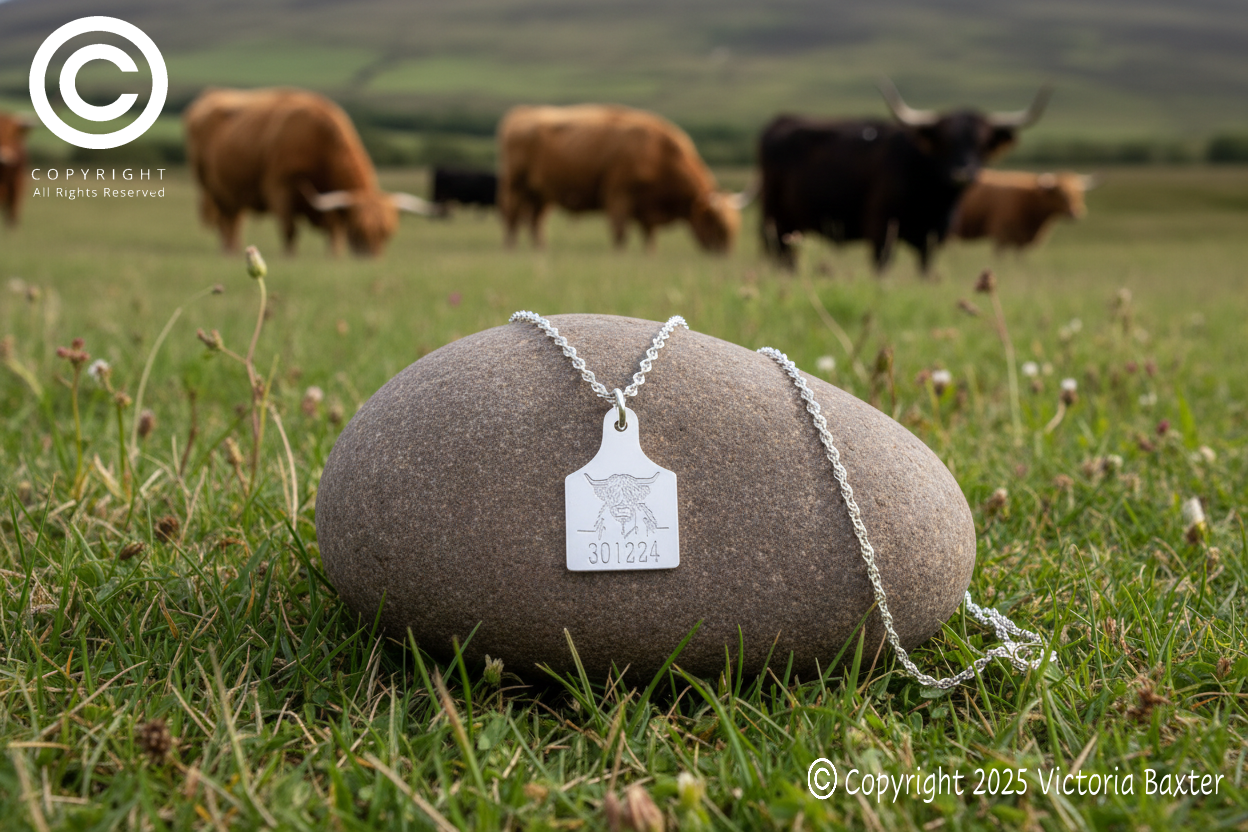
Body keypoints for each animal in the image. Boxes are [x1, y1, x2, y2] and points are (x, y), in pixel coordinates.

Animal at [184, 87, 435, 256]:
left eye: (388, 233)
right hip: (213, 188)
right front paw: (289, 258)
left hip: (235, 192)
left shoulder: (331, 203)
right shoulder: (279, 187)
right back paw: (230, 252)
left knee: (235, 219)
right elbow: (289, 231)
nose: (370, 259)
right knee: (226, 222)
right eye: (358, 230)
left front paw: (335, 257)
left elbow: (334, 233)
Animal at [497, 104, 747, 252]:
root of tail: (522, 111)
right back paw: (511, 247)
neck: (658, 154)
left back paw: (540, 247)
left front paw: (649, 253)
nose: (726, 253)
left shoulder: (648, 208)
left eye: (737, 223)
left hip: (541, 192)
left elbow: (649, 234)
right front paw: (620, 254)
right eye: (717, 223)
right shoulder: (618, 193)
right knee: (511, 215)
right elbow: (620, 231)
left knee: (536, 221)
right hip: (515, 185)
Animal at [758, 80, 1051, 273]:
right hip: (777, 220)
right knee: (782, 256)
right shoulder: (881, 230)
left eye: (982, 144)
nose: (964, 173)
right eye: (946, 141)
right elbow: (882, 270)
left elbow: (924, 271)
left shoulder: (932, 239)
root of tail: (781, 120)